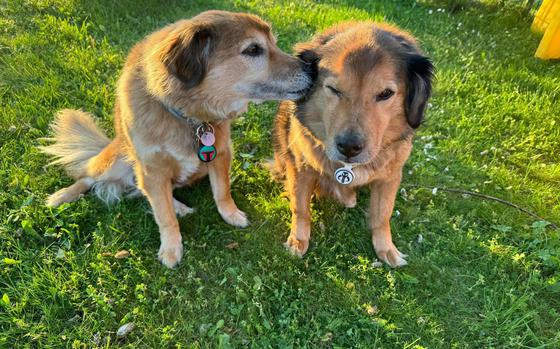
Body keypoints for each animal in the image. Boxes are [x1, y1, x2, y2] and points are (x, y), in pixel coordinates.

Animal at [270, 21, 434, 266]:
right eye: (334, 89)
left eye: (386, 93)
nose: (349, 147)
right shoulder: (301, 168)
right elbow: (301, 209)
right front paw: (298, 241)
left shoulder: (390, 176)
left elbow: (383, 215)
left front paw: (386, 248)